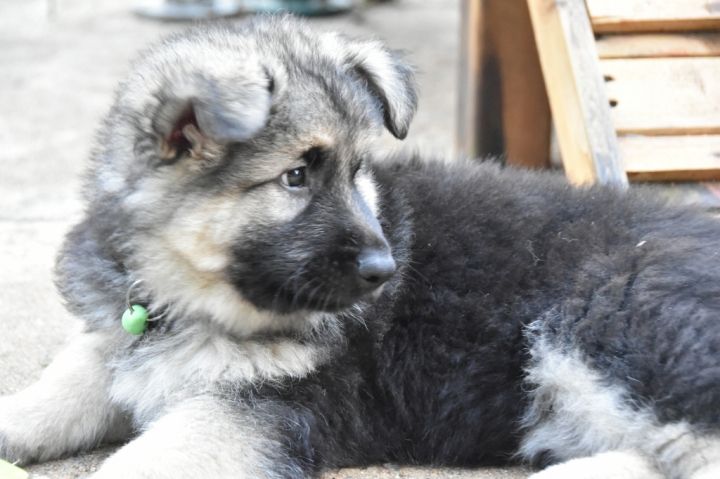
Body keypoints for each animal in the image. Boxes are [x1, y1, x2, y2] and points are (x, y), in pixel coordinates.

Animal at [1, 15, 720, 479]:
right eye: (296, 176)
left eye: (354, 172)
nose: (385, 269)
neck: (186, 300)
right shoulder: (115, 341)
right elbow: (63, 384)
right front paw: (15, 421)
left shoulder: (262, 407)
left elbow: (143, 457)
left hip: (619, 329)